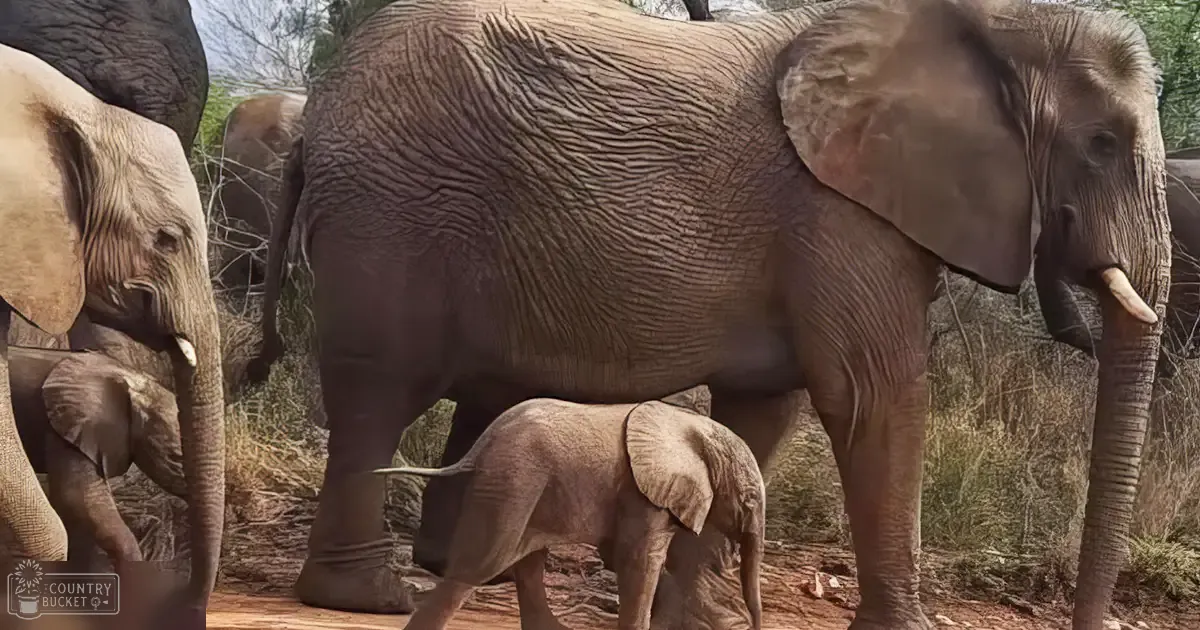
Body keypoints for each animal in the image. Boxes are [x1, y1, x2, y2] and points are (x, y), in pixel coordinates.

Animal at [376, 398, 765, 630]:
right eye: (748, 498)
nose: (753, 625)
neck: (692, 425)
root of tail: (483, 442)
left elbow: (621, 556)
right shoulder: (642, 493)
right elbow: (639, 561)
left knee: (527, 562)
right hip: (516, 480)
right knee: (480, 565)